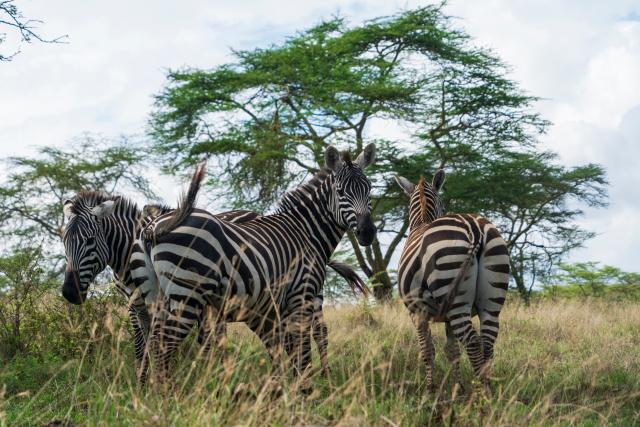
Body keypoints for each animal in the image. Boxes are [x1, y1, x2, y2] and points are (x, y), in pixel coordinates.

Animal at [60, 192, 367, 382]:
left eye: (89, 240)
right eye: (63, 240)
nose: (69, 293)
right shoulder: (135, 305)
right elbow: (142, 345)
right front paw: (144, 384)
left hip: (305, 295)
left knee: (319, 331)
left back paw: (325, 377)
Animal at [142, 144, 377, 387]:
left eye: (369, 189)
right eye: (341, 192)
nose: (367, 232)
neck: (306, 231)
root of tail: (154, 227)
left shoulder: (279, 305)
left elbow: (288, 351)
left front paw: (287, 389)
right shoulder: (301, 294)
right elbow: (302, 352)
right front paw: (306, 391)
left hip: (159, 295)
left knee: (154, 341)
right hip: (187, 293)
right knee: (166, 344)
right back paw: (169, 394)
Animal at [394, 170, 509, 392]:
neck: (421, 222)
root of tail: (474, 228)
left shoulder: (417, 313)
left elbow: (427, 350)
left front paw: (430, 389)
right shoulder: (446, 317)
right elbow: (452, 350)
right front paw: (459, 388)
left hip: (454, 294)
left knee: (473, 342)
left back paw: (481, 393)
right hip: (490, 295)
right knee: (487, 341)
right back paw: (487, 388)